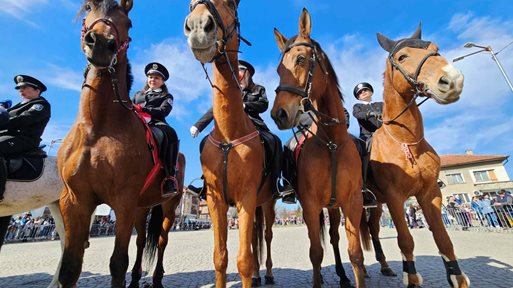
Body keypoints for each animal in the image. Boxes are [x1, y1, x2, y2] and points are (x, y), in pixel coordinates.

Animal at [58, 1, 182, 286]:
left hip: (168, 206)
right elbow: (70, 266)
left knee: (161, 240)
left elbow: (117, 263)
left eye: (128, 22)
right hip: (141, 207)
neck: (97, 127)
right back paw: (136, 278)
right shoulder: (74, 202)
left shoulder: (123, 202)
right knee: (141, 242)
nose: (102, 43)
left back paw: (157, 277)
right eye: (88, 9)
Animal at [184, 1, 278, 286]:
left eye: (232, 3)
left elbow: (243, 260)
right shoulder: (216, 200)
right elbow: (220, 257)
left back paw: (268, 274)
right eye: (190, 5)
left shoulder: (247, 197)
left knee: (266, 235)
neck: (229, 135)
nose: (198, 26)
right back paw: (259, 275)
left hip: (266, 202)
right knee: (256, 236)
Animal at [272, 8, 368, 288]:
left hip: (334, 207)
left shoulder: (352, 202)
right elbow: (315, 251)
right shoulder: (311, 204)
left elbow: (355, 253)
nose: (279, 114)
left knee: (335, 238)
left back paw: (342, 276)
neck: (332, 142)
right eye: (279, 69)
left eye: (301, 59)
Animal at [360, 25, 468, 288]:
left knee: (374, 230)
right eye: (402, 57)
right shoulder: (395, 197)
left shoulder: (430, 193)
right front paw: (410, 277)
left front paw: (456, 276)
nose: (452, 80)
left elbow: (442, 237)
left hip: (377, 205)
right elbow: (405, 239)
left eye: (436, 49)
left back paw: (385, 266)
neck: (406, 142)